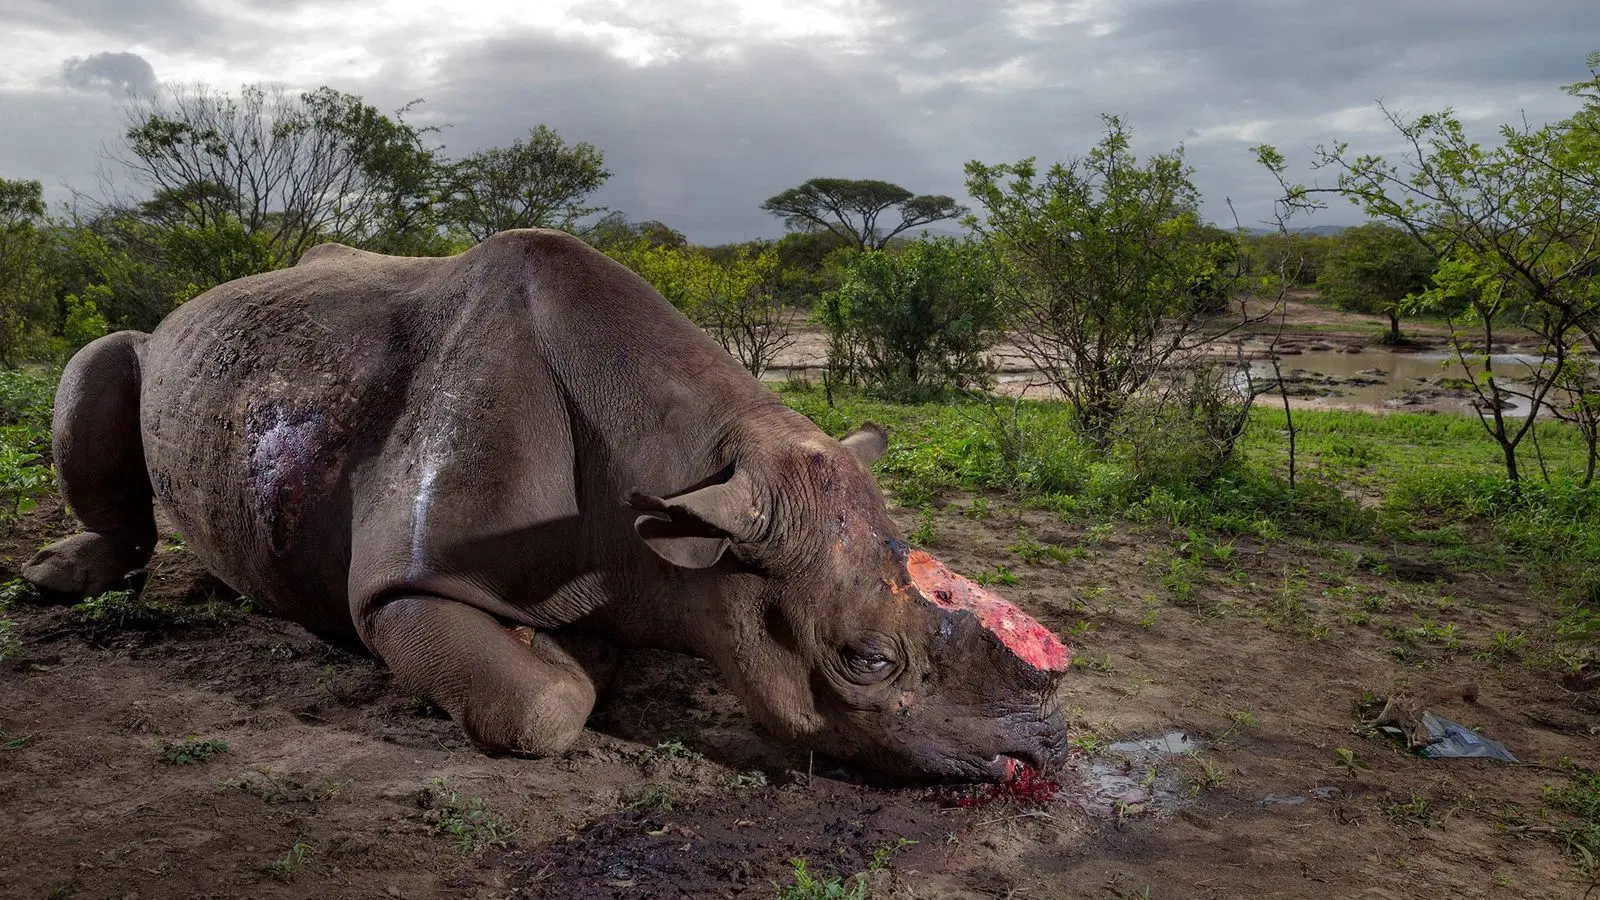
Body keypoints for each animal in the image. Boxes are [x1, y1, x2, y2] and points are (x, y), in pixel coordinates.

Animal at [22, 229, 1070, 781]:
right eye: (865, 661)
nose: (1045, 755)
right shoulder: (404, 586)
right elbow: (545, 707)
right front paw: (569, 662)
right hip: (167, 352)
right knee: (105, 358)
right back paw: (57, 579)